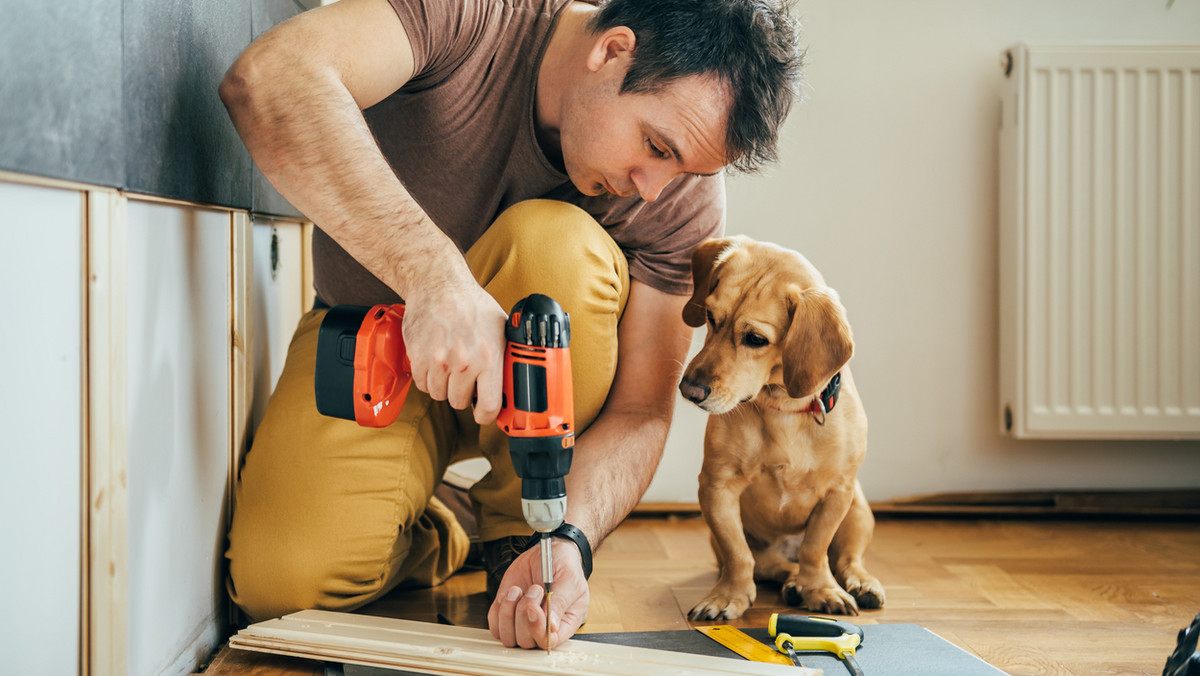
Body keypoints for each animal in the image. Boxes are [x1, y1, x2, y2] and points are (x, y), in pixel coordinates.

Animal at [681, 236, 888, 619]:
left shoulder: (837, 493)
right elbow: (738, 555)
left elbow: (815, 549)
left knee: (847, 559)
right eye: (710, 317)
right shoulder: (716, 488)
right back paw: (792, 583)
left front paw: (821, 589)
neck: (782, 410)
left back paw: (859, 583)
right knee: (774, 565)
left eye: (755, 339)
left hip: (858, 511)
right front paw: (728, 595)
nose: (689, 390)